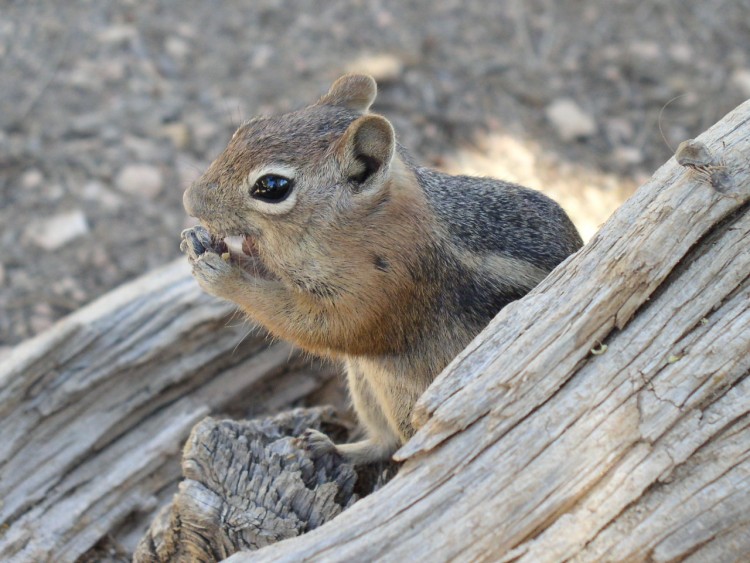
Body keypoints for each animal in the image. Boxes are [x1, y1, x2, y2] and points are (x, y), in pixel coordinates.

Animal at [179, 74, 584, 462]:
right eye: (247, 128)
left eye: (272, 186)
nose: (189, 200)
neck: (367, 228)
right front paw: (199, 240)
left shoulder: (387, 291)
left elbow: (324, 328)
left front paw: (226, 278)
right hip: (364, 378)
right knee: (384, 442)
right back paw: (333, 448)